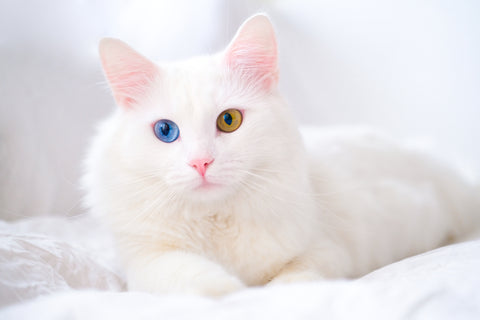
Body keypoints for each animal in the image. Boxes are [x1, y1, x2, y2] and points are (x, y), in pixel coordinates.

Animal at [83, 14, 480, 296]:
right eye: (165, 131)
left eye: (229, 120)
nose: (201, 163)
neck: (216, 220)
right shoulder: (143, 259)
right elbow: (187, 276)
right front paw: (229, 291)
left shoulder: (327, 250)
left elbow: (291, 281)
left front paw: (255, 295)